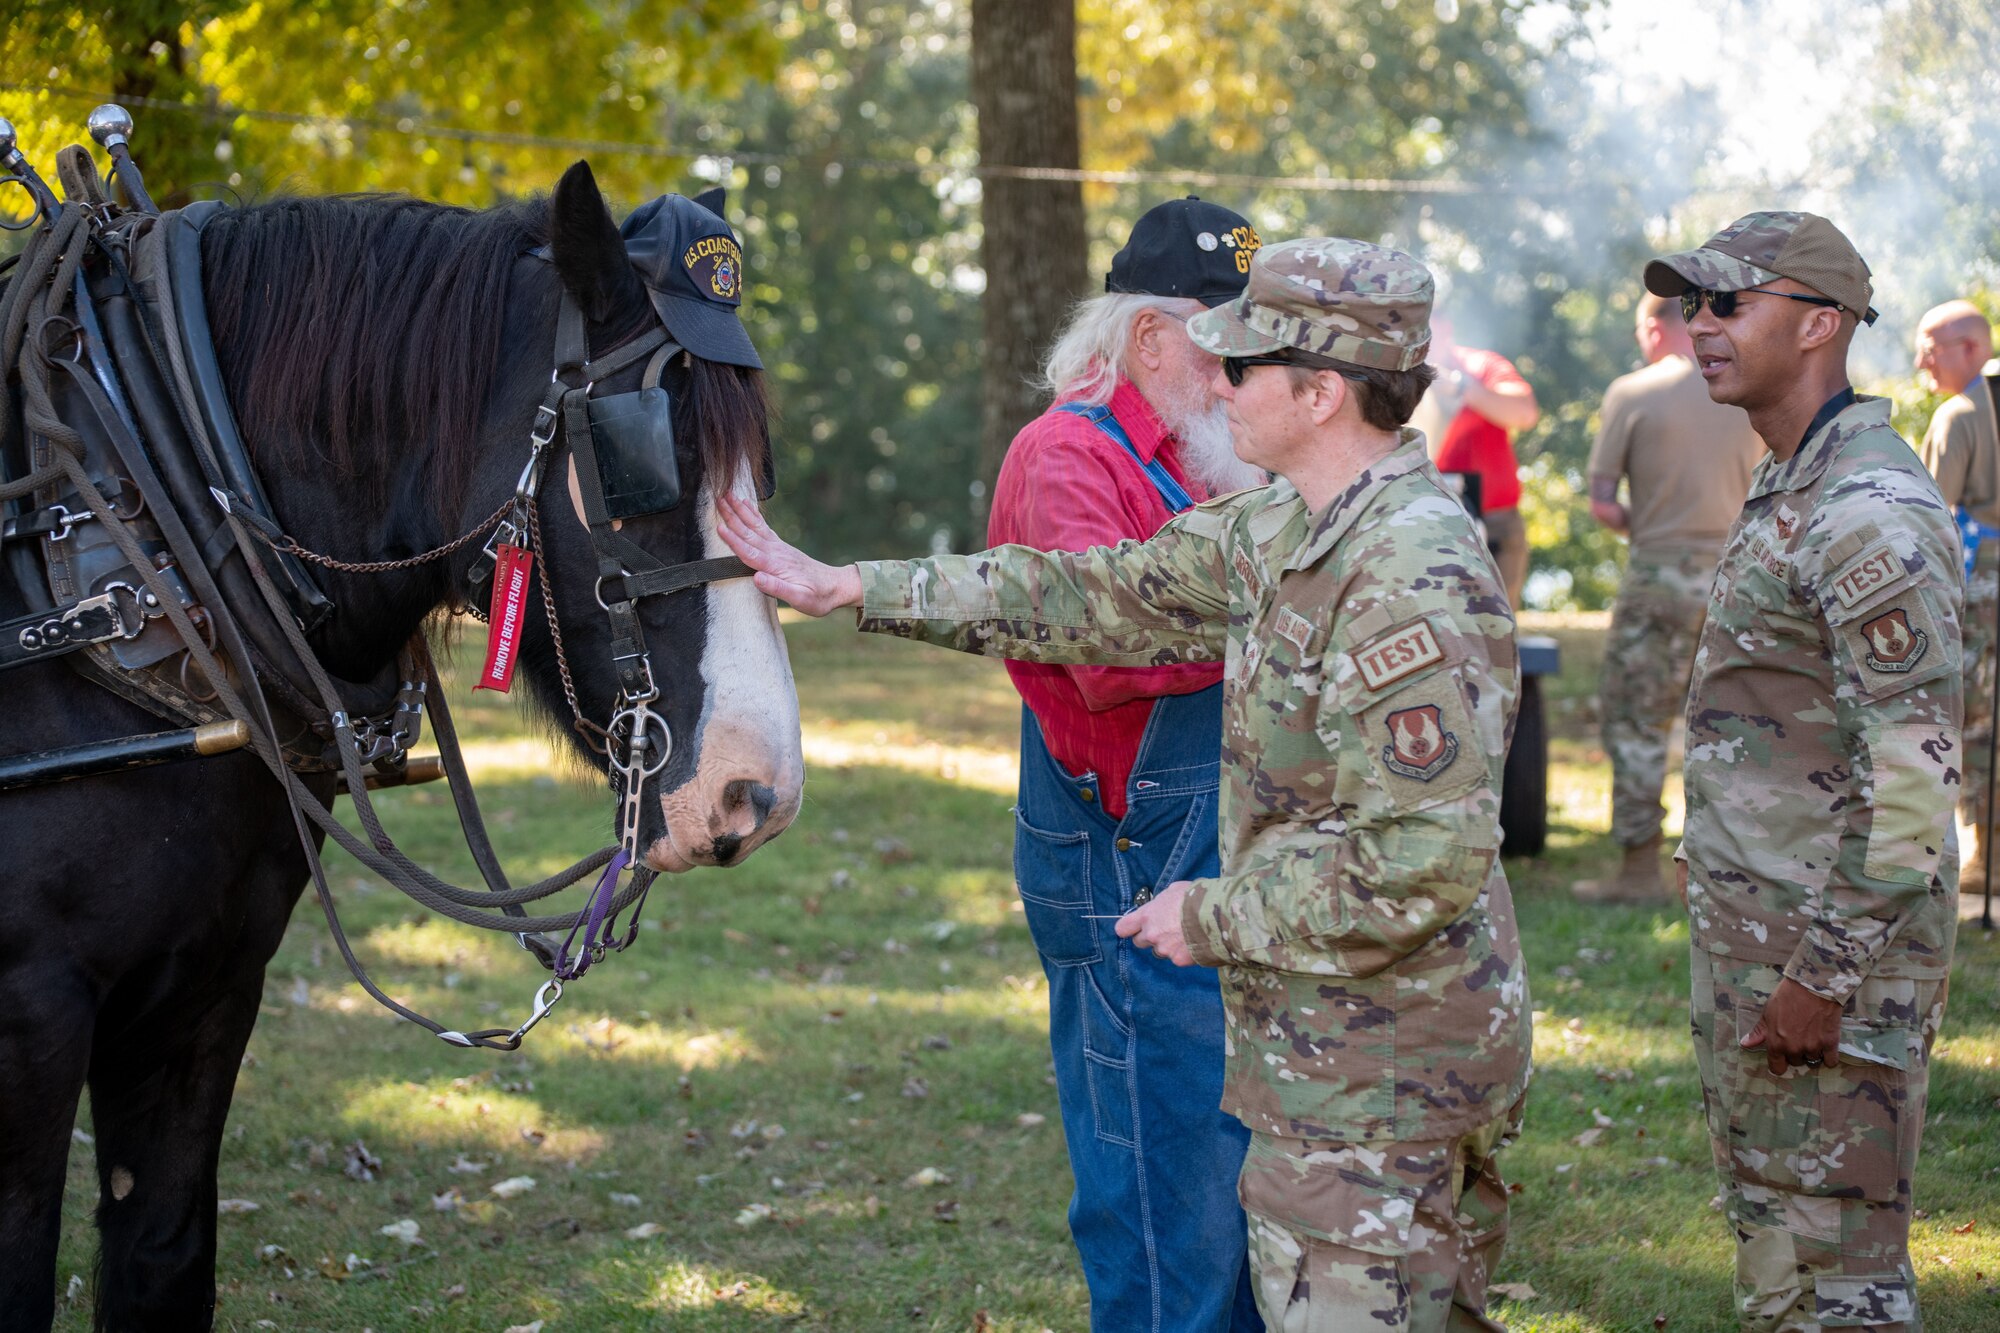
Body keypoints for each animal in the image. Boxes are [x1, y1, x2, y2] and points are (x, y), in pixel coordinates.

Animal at [0, 161, 800, 1320]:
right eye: (642, 459)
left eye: (759, 467)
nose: (760, 792)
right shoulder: (29, 1013)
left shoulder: (207, 987)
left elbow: (162, 1255)